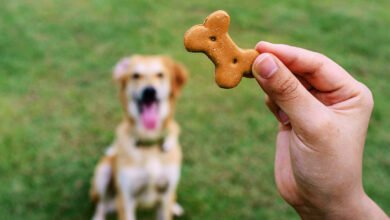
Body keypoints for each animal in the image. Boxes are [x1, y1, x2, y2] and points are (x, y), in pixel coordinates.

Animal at [91, 55, 189, 220]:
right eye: (135, 75)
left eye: (160, 75)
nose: (149, 91)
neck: (149, 142)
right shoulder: (126, 199)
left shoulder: (166, 193)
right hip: (103, 173)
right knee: (102, 203)